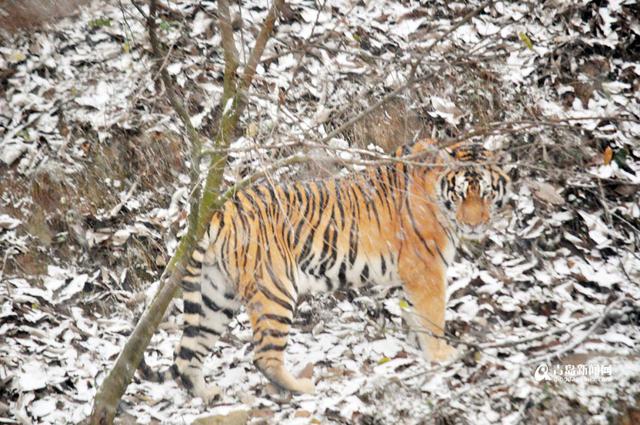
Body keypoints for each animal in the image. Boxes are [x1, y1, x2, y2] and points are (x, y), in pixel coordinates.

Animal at [140, 137, 510, 400]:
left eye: (485, 193)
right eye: (460, 194)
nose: (475, 224)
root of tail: (220, 210)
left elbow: (413, 315)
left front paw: (418, 350)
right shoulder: (426, 269)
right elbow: (433, 317)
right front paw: (442, 355)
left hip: (215, 296)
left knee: (188, 354)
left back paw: (208, 394)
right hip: (275, 290)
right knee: (263, 356)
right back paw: (303, 388)